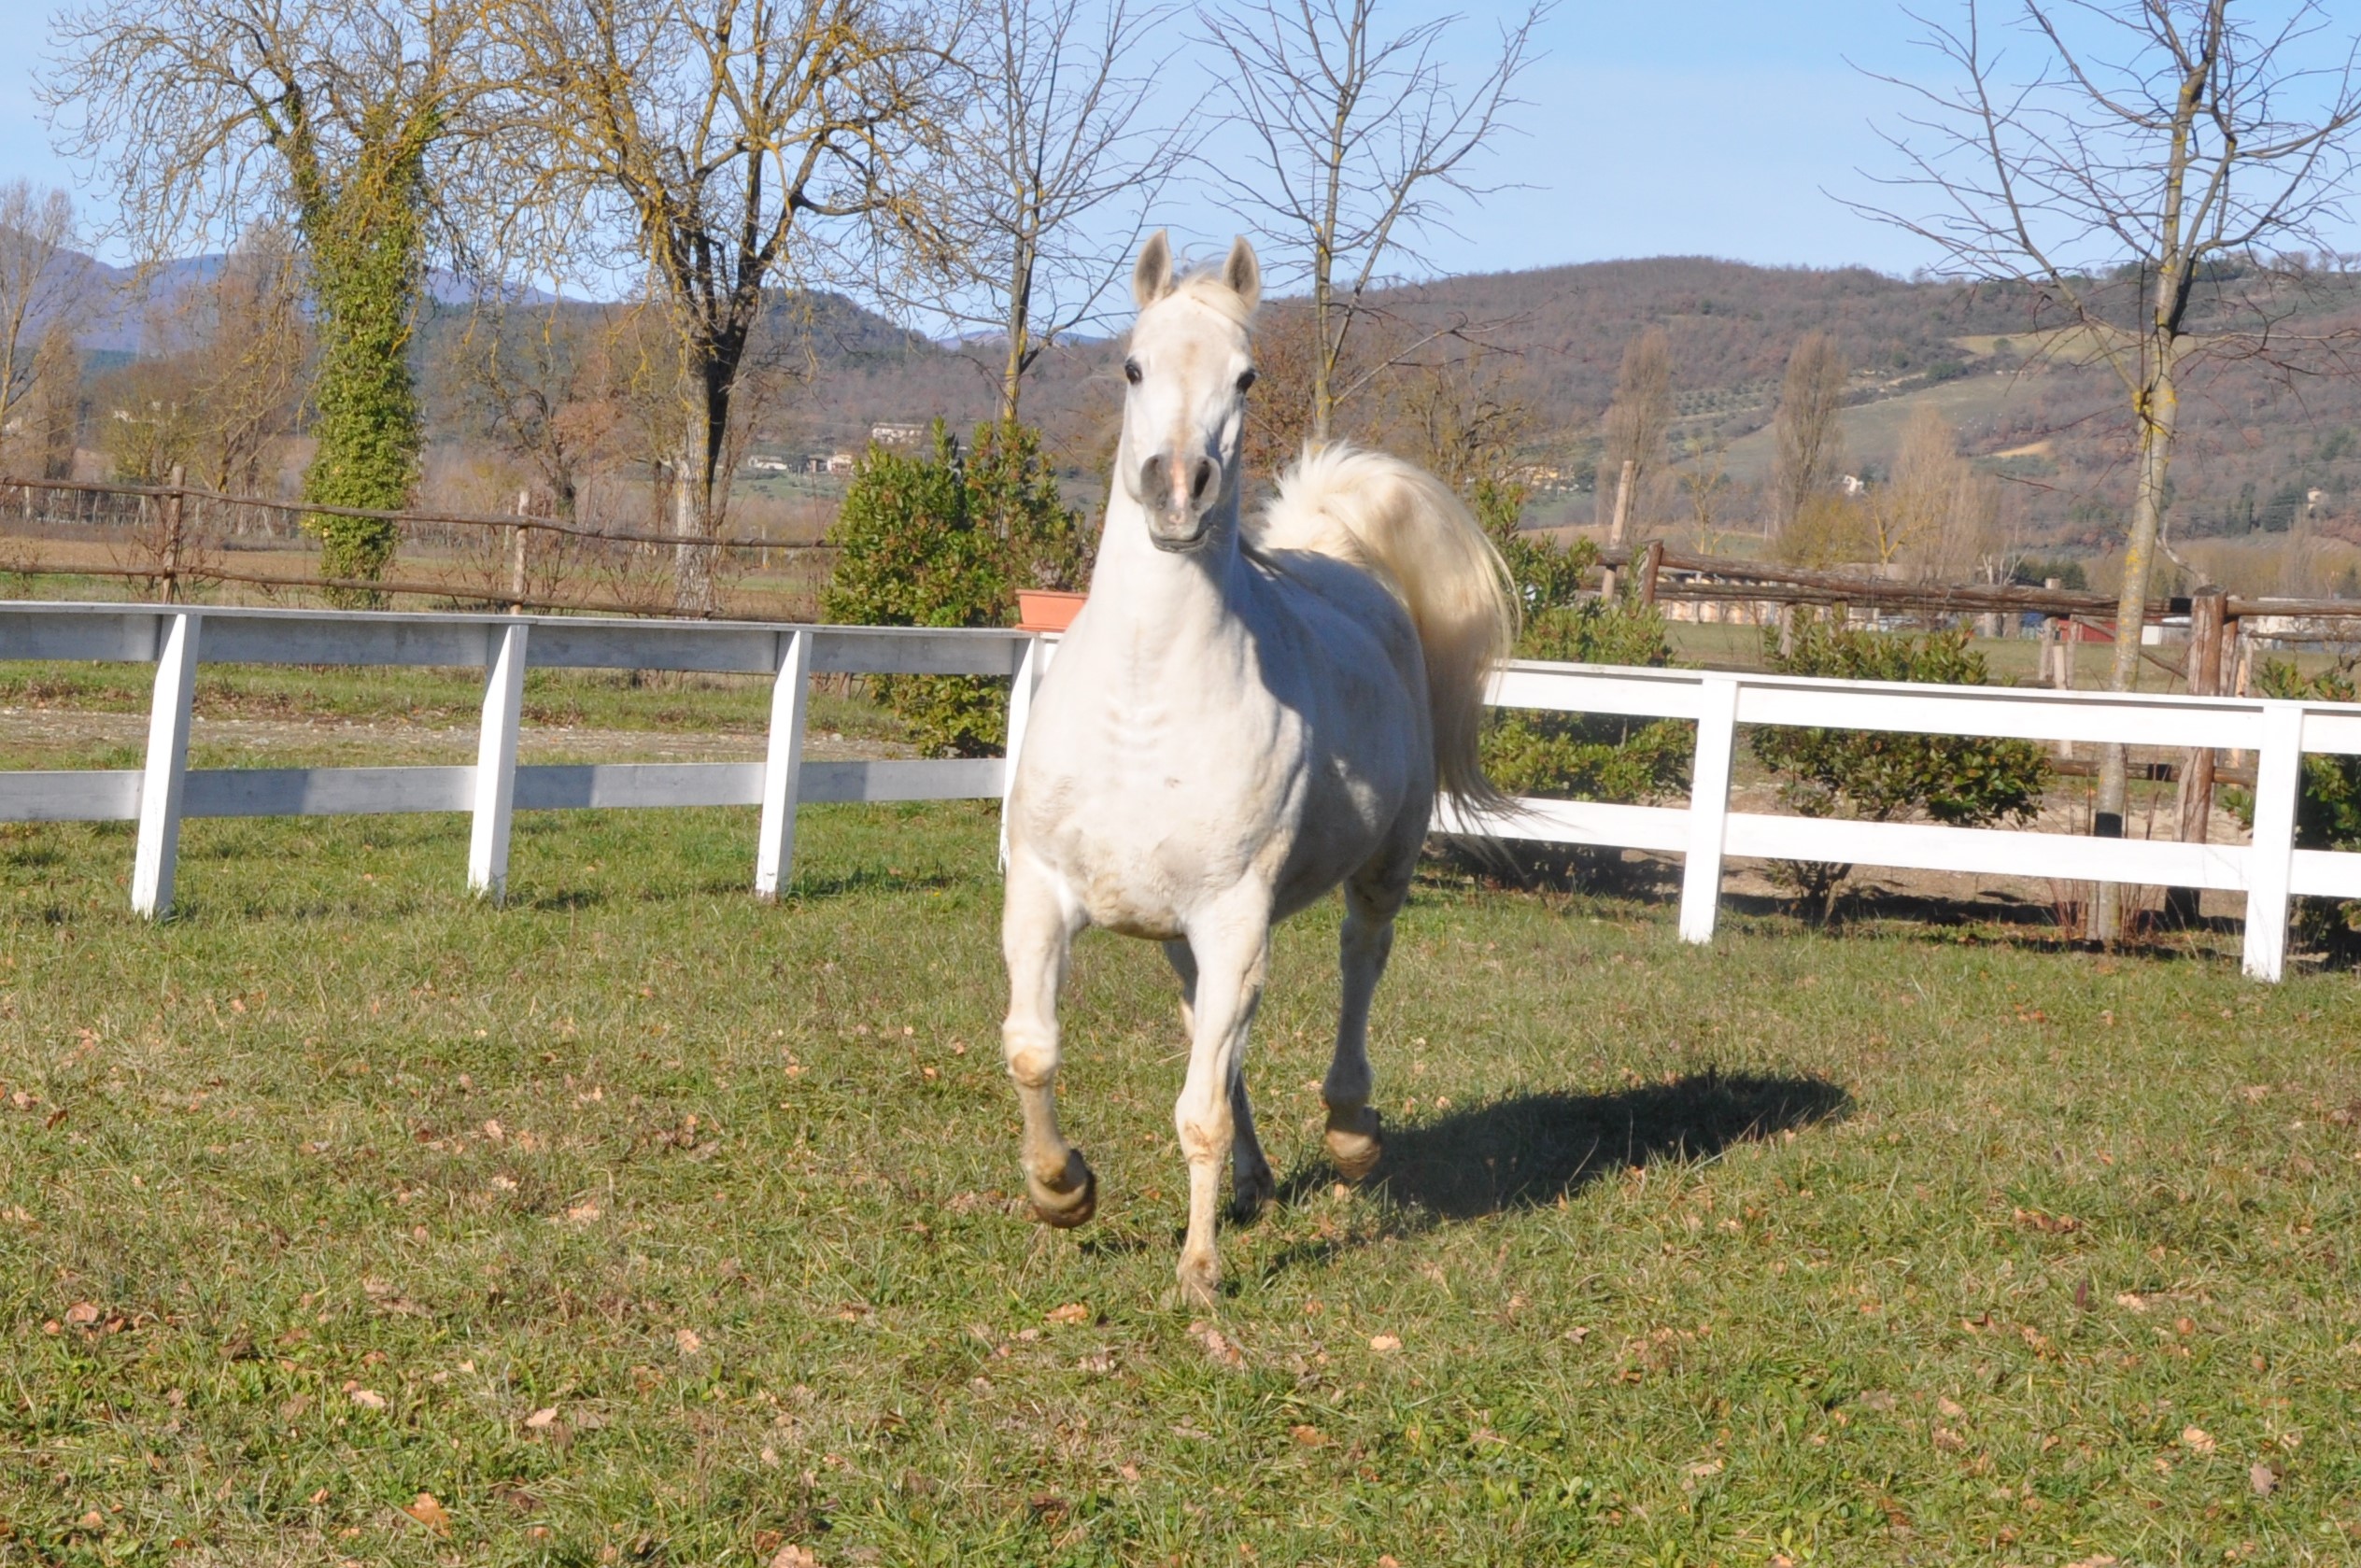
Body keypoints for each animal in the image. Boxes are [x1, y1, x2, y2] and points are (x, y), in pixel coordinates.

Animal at [996, 222, 1510, 1293]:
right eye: (1132, 364)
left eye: (1245, 375)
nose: (1177, 490)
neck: (1144, 702)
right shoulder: (1043, 892)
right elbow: (1033, 1050)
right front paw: (1062, 1189)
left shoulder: (1235, 915)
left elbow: (1194, 1106)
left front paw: (1199, 1269)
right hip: (1185, 936)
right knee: (1213, 1035)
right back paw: (1255, 1179)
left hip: (1382, 867)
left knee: (1361, 962)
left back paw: (1350, 1132)